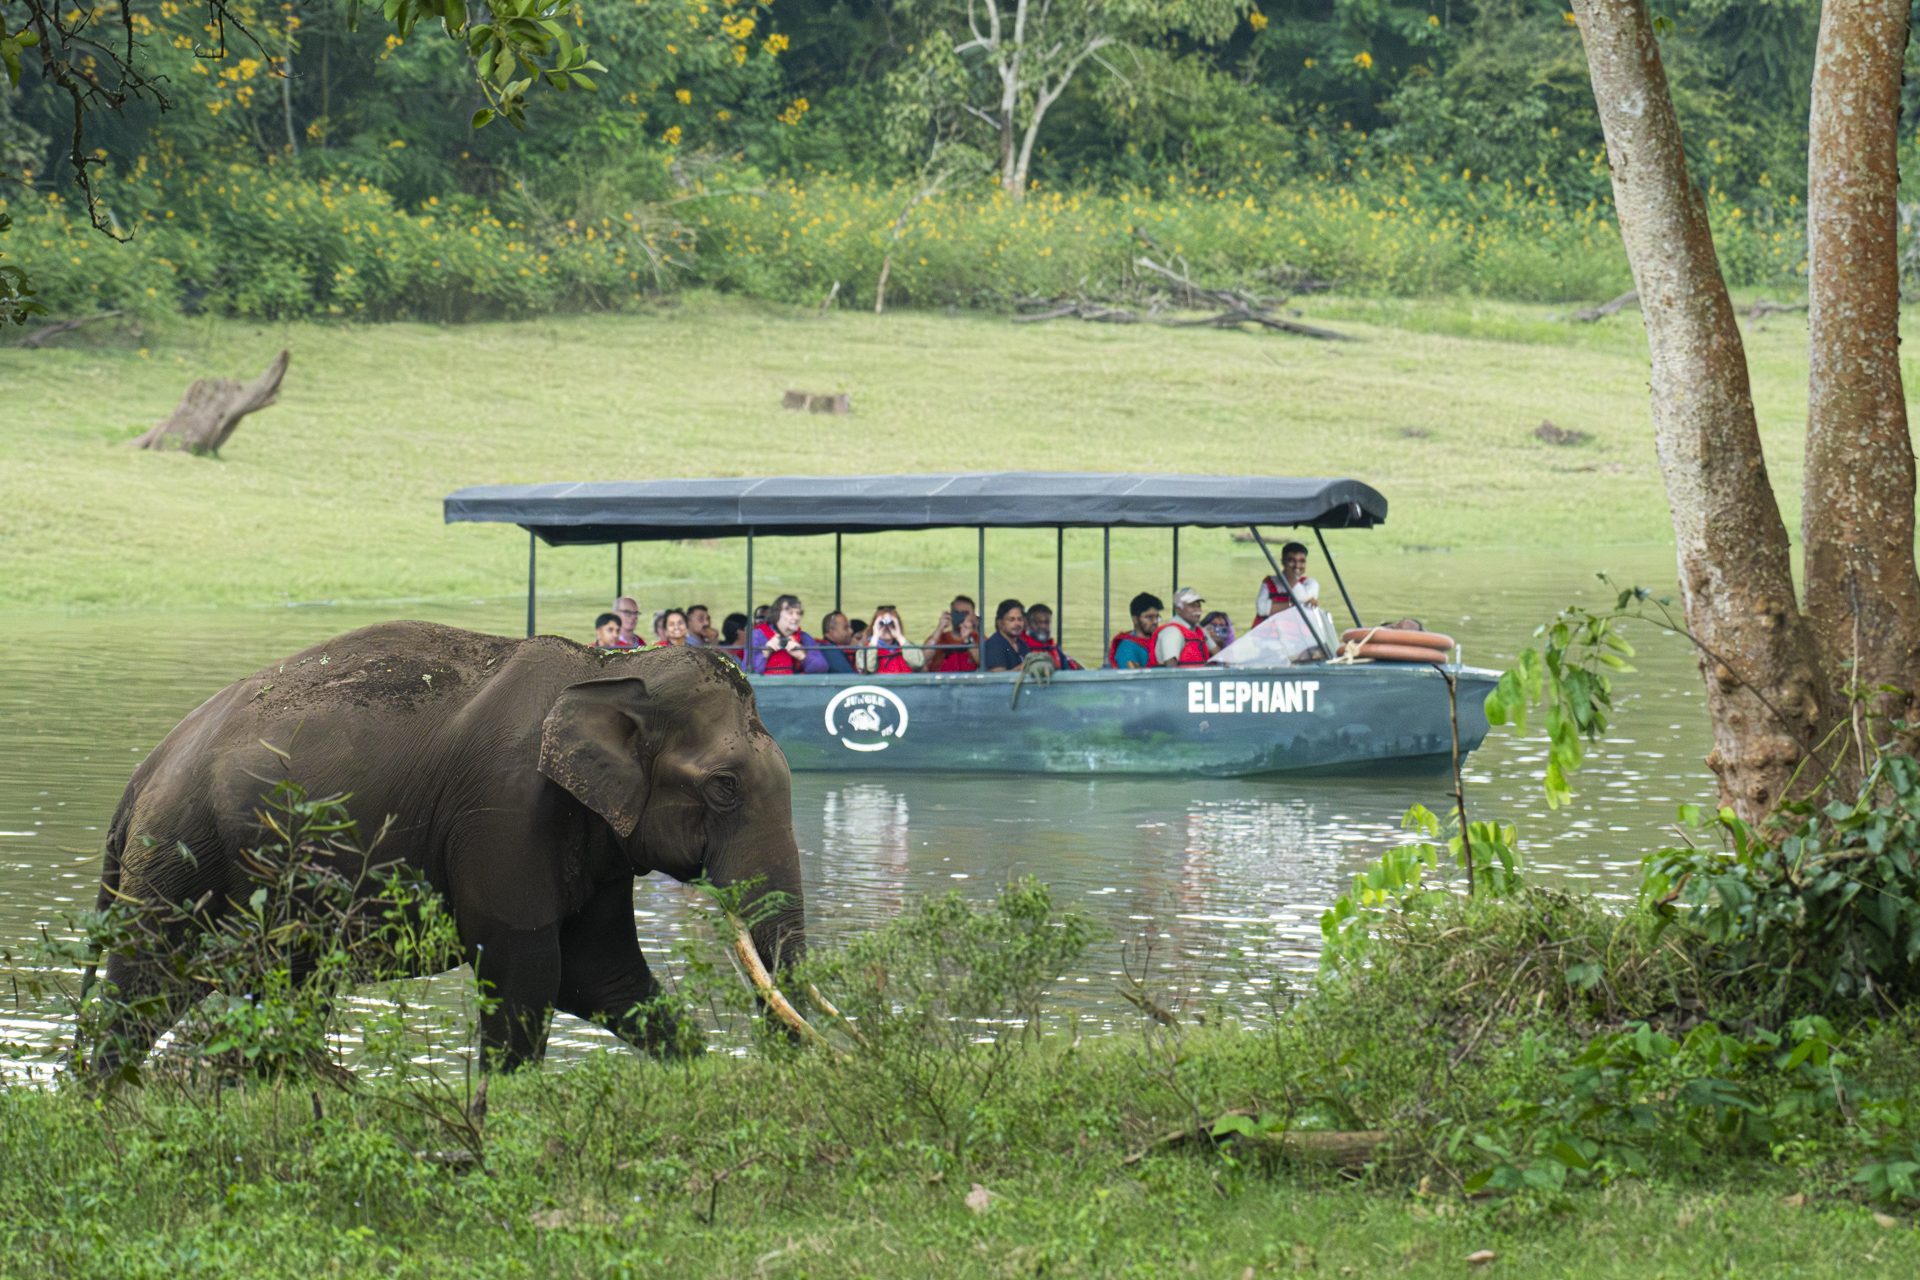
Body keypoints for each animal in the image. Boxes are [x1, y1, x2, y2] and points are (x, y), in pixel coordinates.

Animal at [83, 620, 806, 1072]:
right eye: (723, 787)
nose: (785, 1061)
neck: (606, 669)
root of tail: (142, 773)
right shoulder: (505, 811)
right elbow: (525, 970)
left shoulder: (594, 837)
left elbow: (605, 974)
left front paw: (699, 1072)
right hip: (179, 855)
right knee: (143, 986)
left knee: (287, 989)